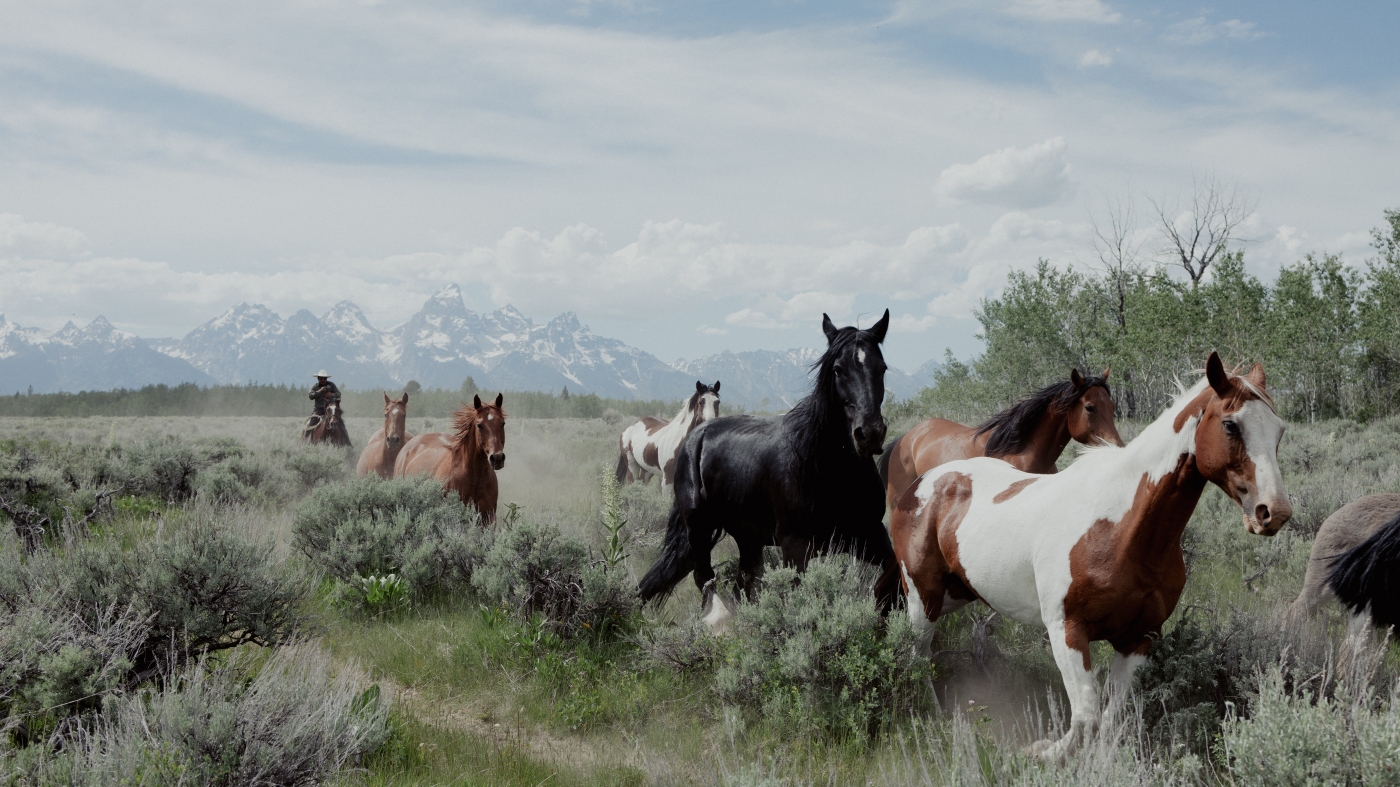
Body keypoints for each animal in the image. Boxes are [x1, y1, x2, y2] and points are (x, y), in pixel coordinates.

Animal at [641, 309, 901, 610]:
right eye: (838, 369)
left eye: (882, 368)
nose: (869, 433)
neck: (825, 468)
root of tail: (696, 435)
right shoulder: (795, 547)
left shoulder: (871, 535)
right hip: (698, 529)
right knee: (706, 580)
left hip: (747, 538)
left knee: (741, 584)